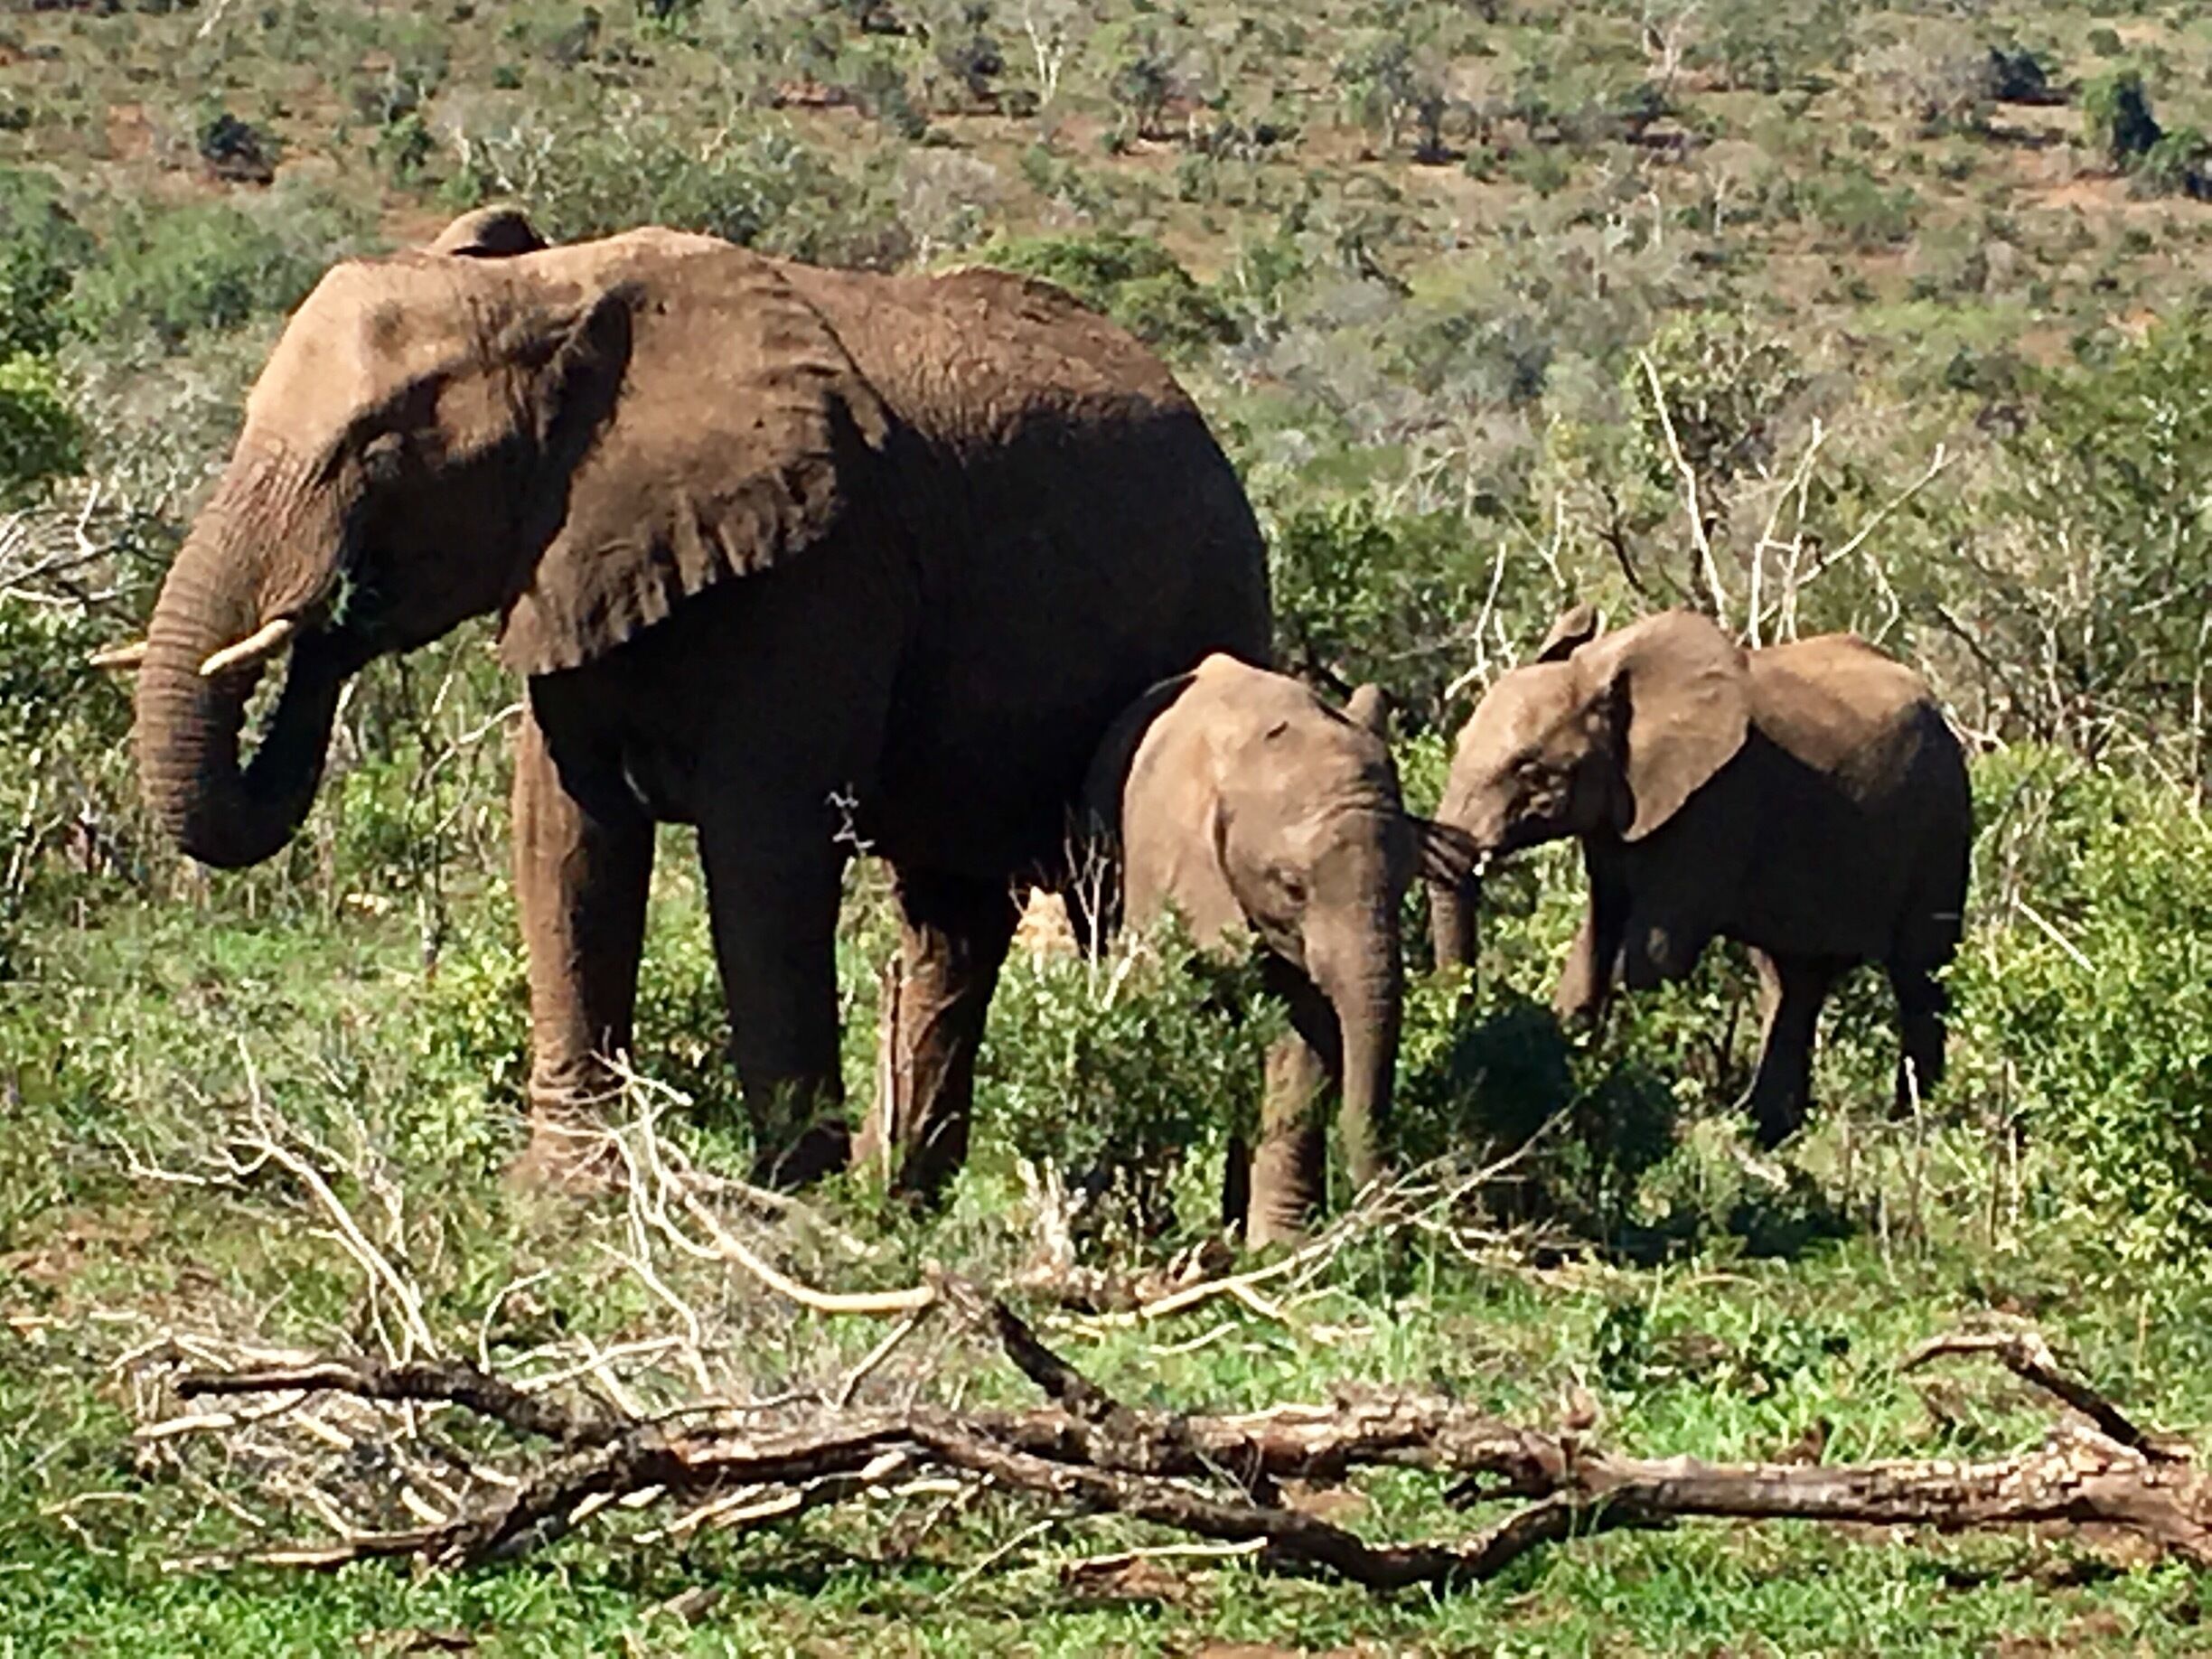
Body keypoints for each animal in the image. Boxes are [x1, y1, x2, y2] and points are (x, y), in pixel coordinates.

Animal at [124, 209, 1271, 1198]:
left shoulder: (822, 570)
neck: (551, 296)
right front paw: (568, 1192)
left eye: (379, 447)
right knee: (953, 922)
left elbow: (762, 855)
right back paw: (910, 1200)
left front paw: (786, 1201)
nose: (332, 609)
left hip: (1201, 613)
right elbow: (566, 842)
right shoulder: (573, 562)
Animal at [1084, 655, 1476, 1245]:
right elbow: (1149, 1009)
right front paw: (1139, 1234)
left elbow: (1300, 1042)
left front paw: (1279, 1246)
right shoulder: (1162, 866)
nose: (1394, 1234)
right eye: (1292, 887)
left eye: (1407, 878)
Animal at [1428, 606, 1970, 1148]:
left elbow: (1652, 961)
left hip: (1942, 824)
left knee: (1920, 976)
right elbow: (1596, 940)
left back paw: (1909, 1128)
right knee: (1793, 980)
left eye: (1535, 774)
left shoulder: (1714, 807)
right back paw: (1767, 1133)